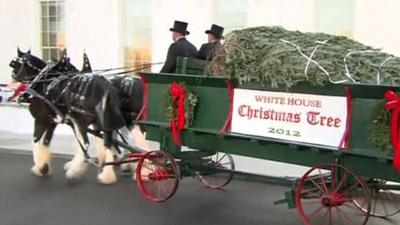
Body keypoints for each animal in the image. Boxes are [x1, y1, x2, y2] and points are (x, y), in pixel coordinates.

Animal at [10, 48, 146, 184]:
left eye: (15, 66)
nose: (10, 82)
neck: (44, 83)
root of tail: (107, 87)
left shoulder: (42, 119)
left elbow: (35, 141)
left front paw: (40, 166)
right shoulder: (55, 121)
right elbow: (47, 142)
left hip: (88, 119)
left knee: (87, 143)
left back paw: (76, 171)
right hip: (120, 119)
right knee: (119, 141)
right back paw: (116, 172)